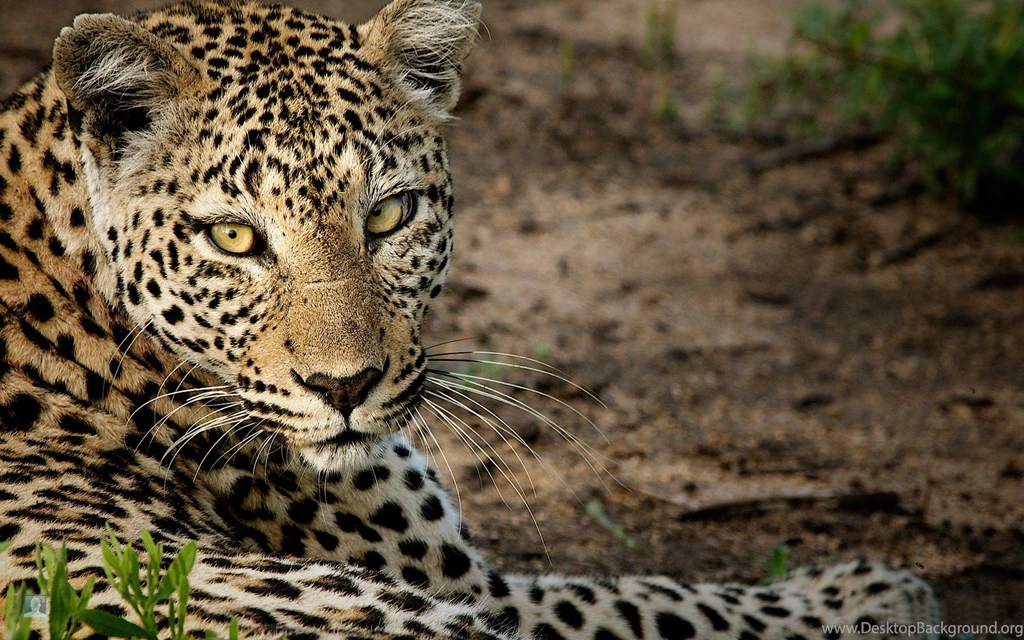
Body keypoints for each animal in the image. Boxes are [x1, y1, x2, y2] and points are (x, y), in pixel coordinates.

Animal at [0, 0, 941, 638]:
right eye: (233, 237)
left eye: (389, 215)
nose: (345, 387)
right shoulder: (476, 591)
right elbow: (648, 599)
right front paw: (867, 593)